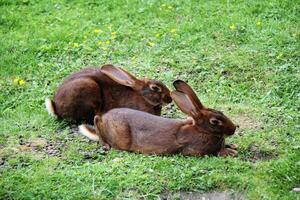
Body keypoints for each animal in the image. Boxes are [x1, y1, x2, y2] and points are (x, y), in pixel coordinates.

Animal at [78, 80, 238, 157]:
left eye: (222, 112)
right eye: (215, 122)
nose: (234, 129)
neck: (201, 130)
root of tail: (105, 118)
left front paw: (233, 146)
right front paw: (230, 153)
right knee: (97, 121)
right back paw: (105, 144)